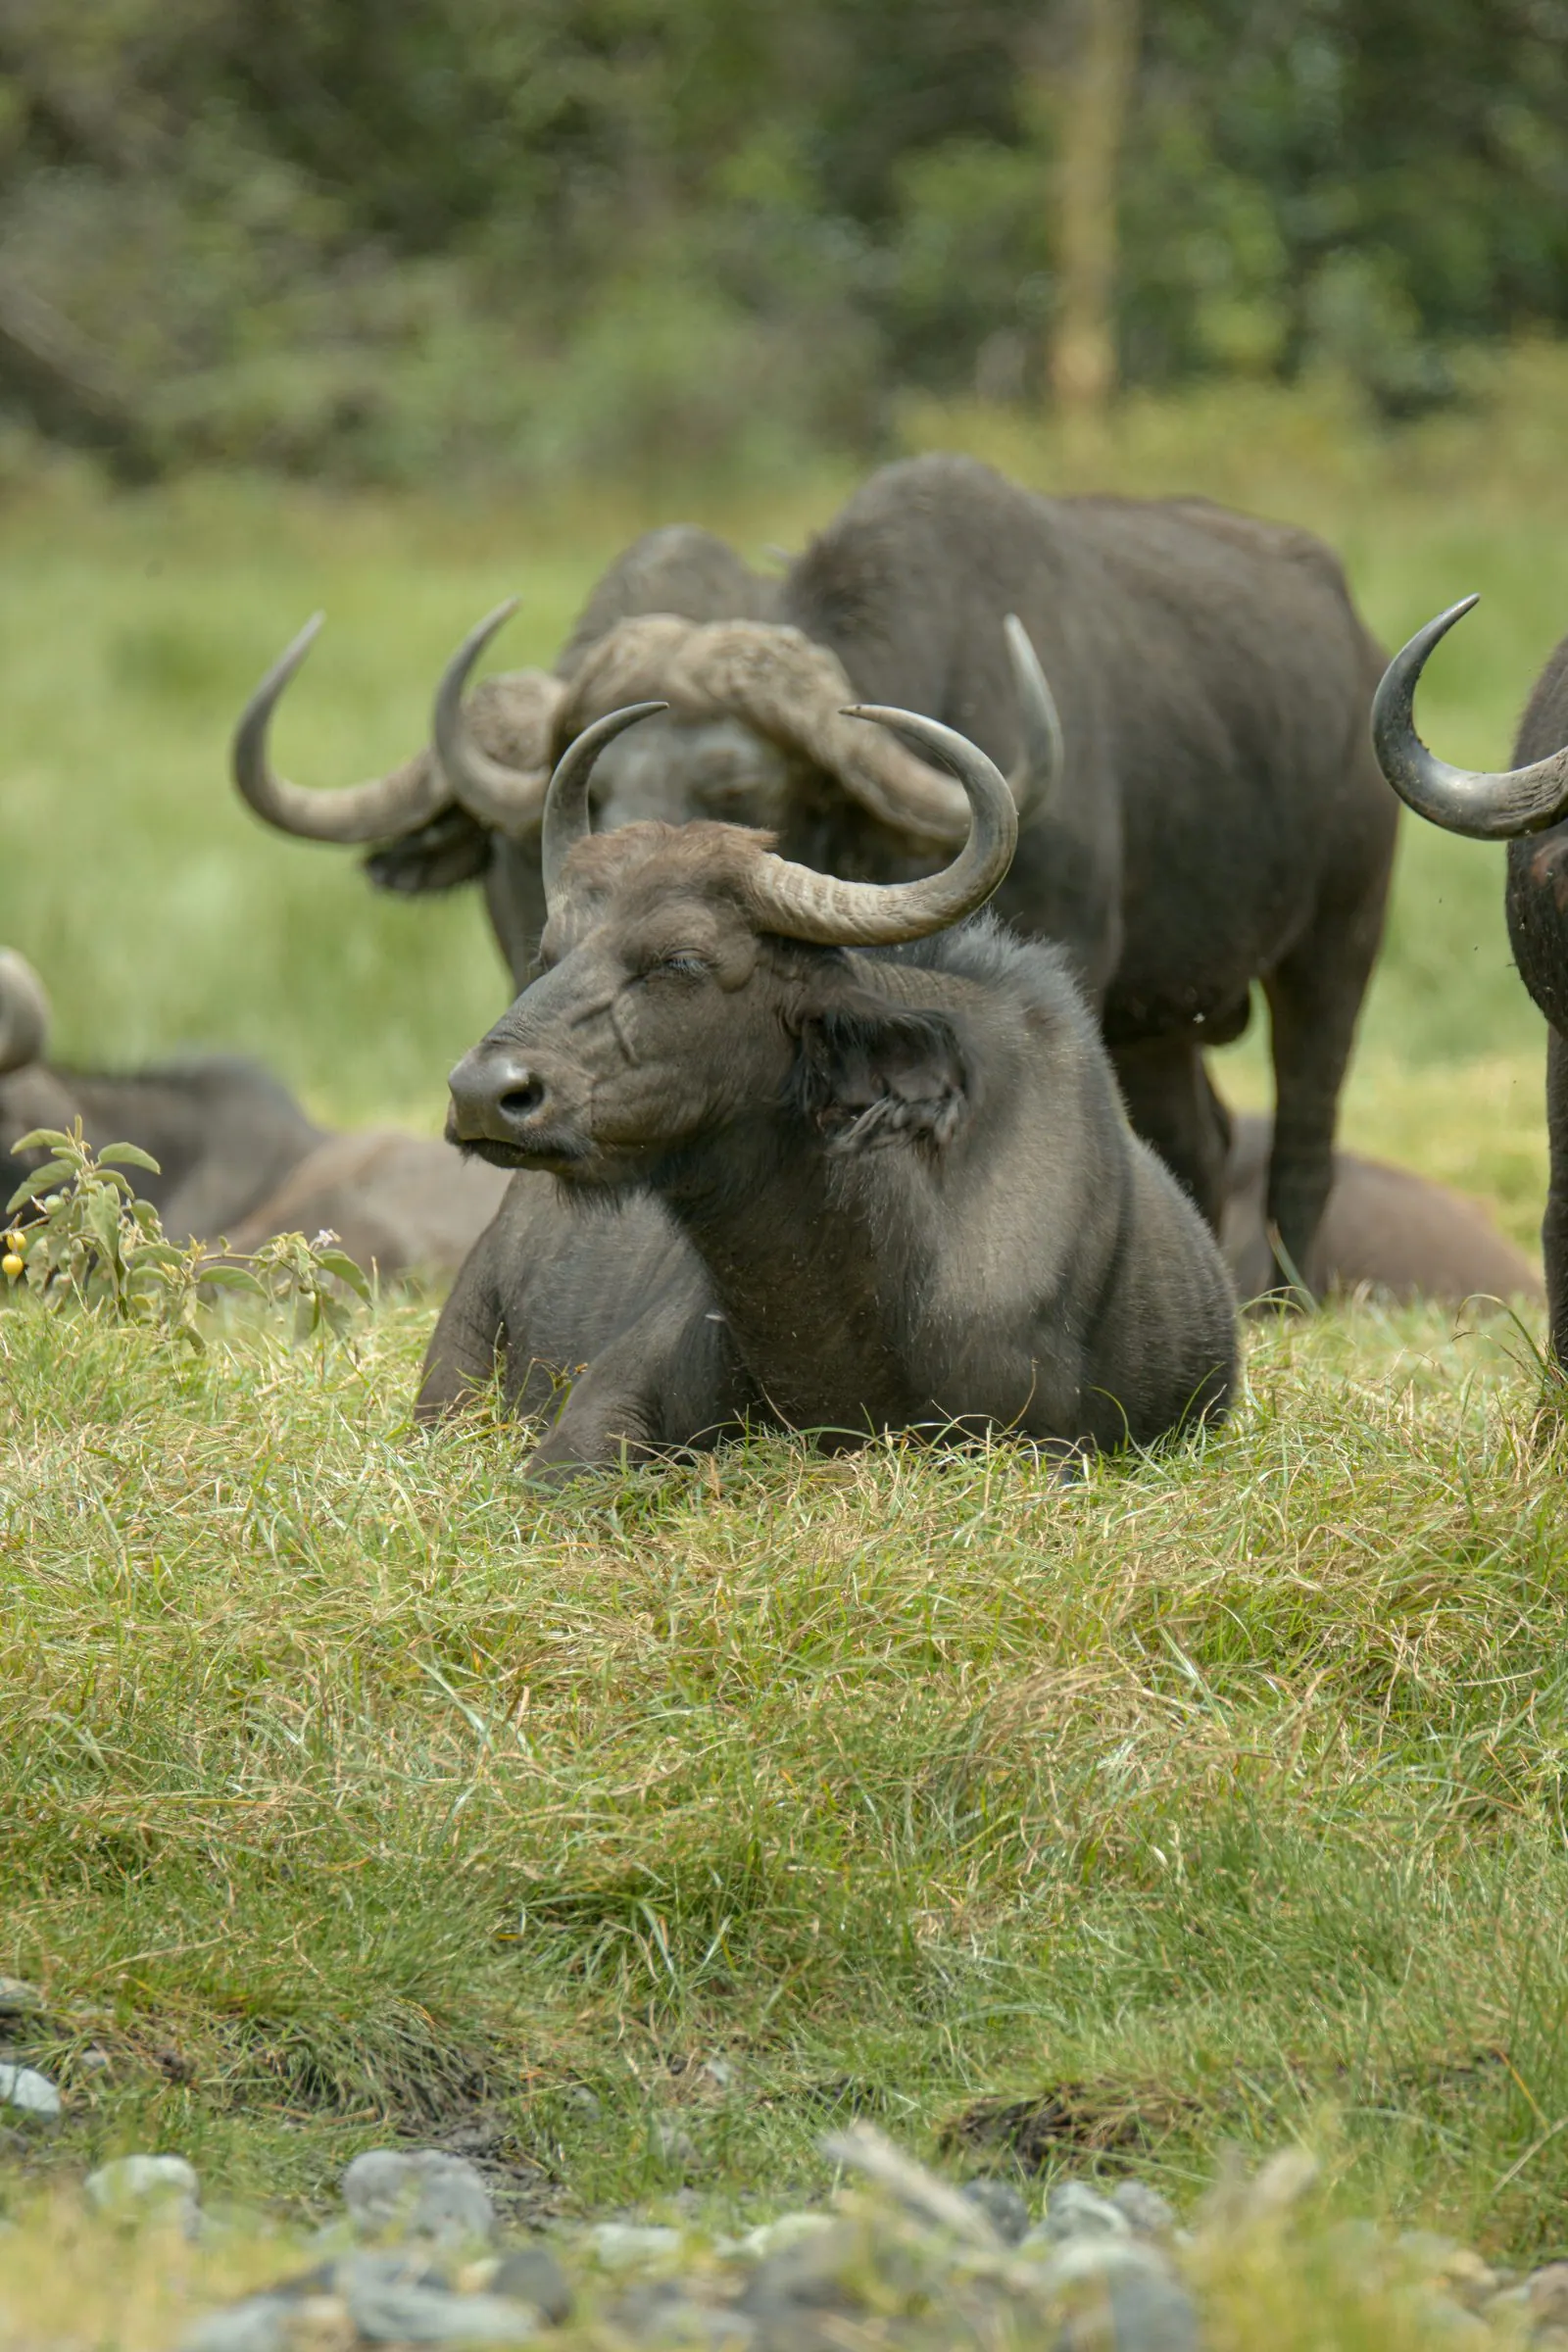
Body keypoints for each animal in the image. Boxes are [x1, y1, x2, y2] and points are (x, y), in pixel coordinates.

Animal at [236, 459, 1398, 1293]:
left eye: (741, 787)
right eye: (581, 803)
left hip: (1338, 936)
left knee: (1305, 1131)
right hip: (1166, 1017)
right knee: (1200, 1136)